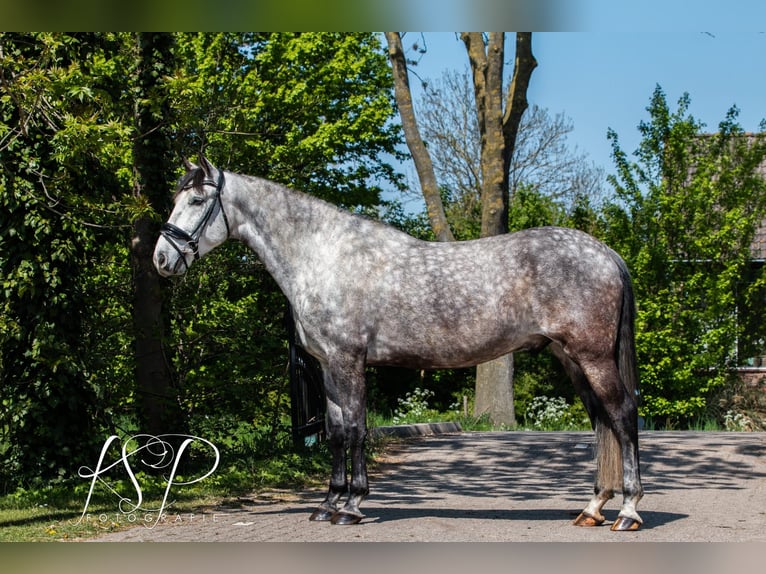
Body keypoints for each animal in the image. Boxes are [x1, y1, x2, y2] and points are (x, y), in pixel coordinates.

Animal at [153, 156, 644, 531]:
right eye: (177, 200)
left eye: (197, 200)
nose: (161, 258)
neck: (324, 255)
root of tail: (605, 253)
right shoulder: (328, 367)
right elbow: (335, 431)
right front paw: (328, 504)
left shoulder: (347, 361)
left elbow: (355, 430)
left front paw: (352, 506)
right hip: (571, 359)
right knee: (602, 421)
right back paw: (593, 508)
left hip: (593, 357)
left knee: (622, 416)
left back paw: (628, 511)